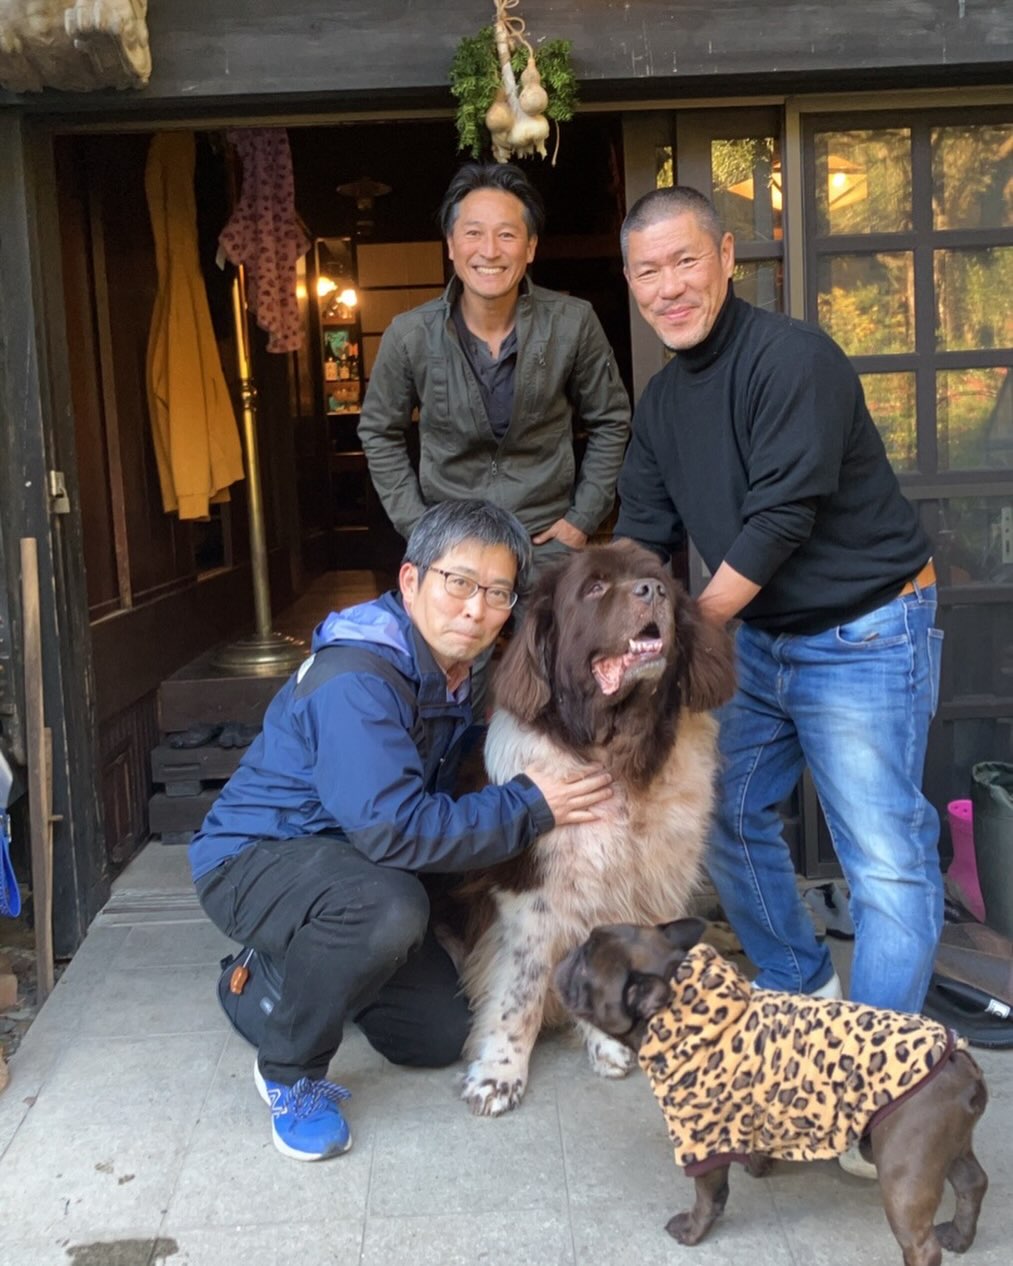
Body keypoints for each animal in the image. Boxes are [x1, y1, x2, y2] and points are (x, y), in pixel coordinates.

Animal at [456, 538, 737, 1117]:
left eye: (659, 581)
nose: (651, 592)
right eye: (595, 588)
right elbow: (520, 993)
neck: (617, 759)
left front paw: (607, 1040)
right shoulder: (533, 901)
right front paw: (499, 1074)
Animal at [555, 919, 989, 1265]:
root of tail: (958, 1060)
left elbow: (709, 1196)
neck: (678, 1005)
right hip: (944, 1148)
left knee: (921, 1244)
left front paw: (692, 1232)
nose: (567, 950)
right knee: (972, 1183)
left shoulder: (702, 1142)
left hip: (905, 1171)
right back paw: (960, 1237)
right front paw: (758, 1162)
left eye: (584, 963)